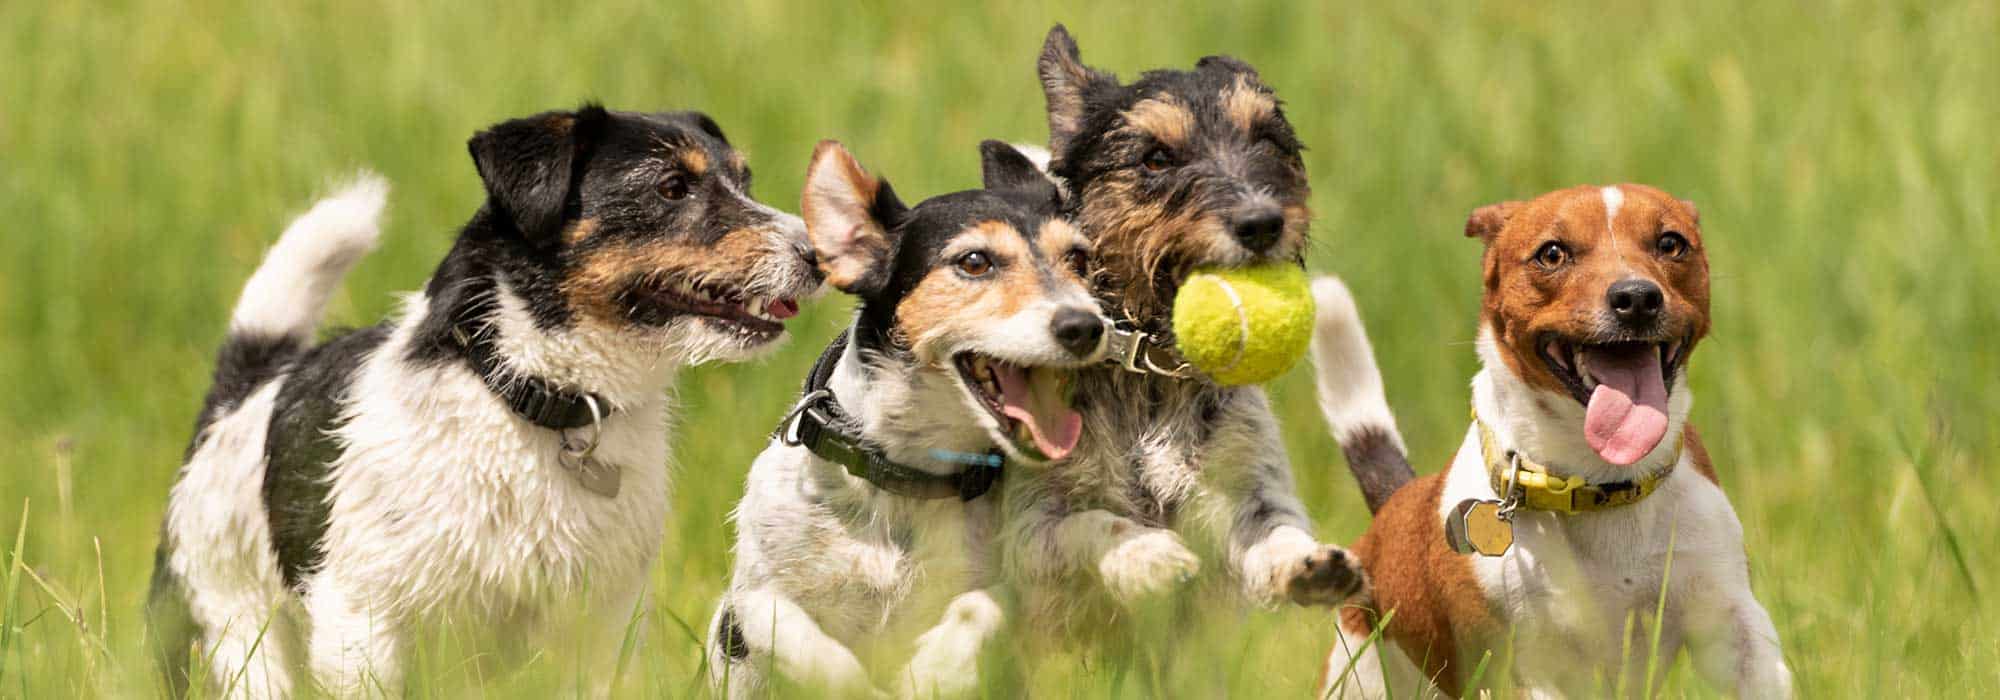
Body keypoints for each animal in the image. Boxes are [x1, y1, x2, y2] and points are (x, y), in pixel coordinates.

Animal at [145, 104, 820, 696]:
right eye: (672, 187)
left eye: (744, 180)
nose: (816, 255)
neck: (532, 400)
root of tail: (239, 398)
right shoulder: (361, 623)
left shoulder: (601, 626)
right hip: (237, 639)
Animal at [708, 141, 1112, 696]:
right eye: (974, 261)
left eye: (1078, 258)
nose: (1085, 326)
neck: (905, 474)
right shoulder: (750, 600)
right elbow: (796, 634)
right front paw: (859, 685)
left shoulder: (1009, 584)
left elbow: (983, 606)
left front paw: (933, 670)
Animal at [1312, 183, 1800, 696]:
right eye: (1552, 253)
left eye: (1671, 243)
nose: (1637, 297)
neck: (1601, 484)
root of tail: (1391, 506)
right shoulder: (1529, 668)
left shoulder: (1730, 625)